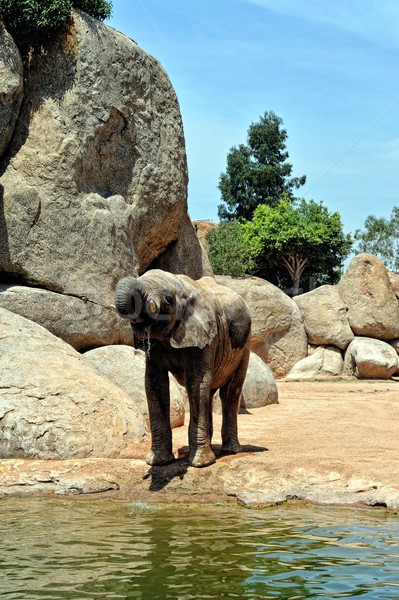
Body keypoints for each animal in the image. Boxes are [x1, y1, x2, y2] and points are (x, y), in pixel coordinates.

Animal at [114, 268, 252, 468]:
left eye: (168, 299)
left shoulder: (206, 337)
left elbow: (197, 382)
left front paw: (201, 464)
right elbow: (155, 384)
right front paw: (158, 462)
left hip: (245, 346)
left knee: (229, 393)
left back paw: (230, 450)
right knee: (209, 393)